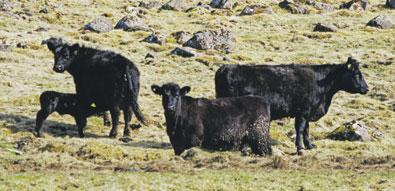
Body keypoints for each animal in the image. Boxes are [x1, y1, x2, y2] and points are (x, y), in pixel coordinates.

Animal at [215, 56, 370, 154]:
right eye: (357, 74)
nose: (367, 89)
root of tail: (226, 68)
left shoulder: (307, 113)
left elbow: (306, 130)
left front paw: (310, 146)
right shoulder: (303, 112)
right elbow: (300, 129)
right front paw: (300, 148)